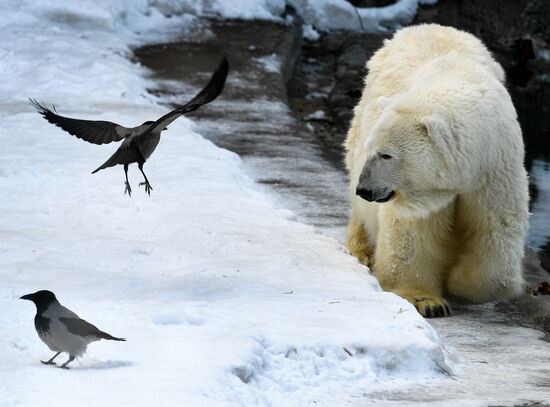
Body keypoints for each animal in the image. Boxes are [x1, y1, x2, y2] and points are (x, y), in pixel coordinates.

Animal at [348, 23, 532, 318]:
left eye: (387, 154)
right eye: (372, 151)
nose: (365, 189)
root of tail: (427, 26)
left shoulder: (495, 167)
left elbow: (495, 226)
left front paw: (460, 282)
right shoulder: (421, 194)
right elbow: (414, 232)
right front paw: (427, 301)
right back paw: (361, 251)